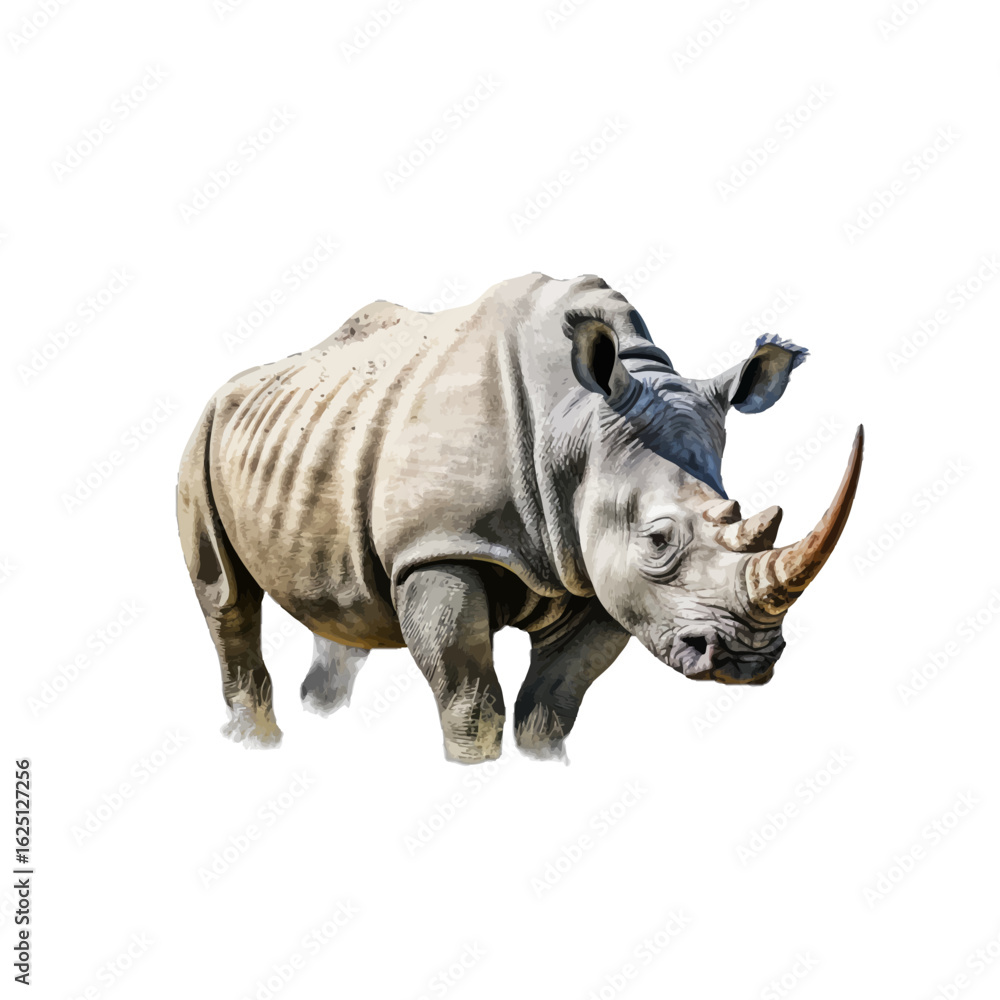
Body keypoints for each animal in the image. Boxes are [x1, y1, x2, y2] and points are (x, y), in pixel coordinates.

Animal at [177, 272, 862, 763]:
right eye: (659, 540)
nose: (748, 657)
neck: (575, 426)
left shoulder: (595, 572)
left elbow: (553, 702)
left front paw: (542, 765)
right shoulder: (439, 546)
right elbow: (472, 699)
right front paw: (473, 766)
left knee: (341, 607)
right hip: (203, 431)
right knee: (227, 597)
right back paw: (258, 746)